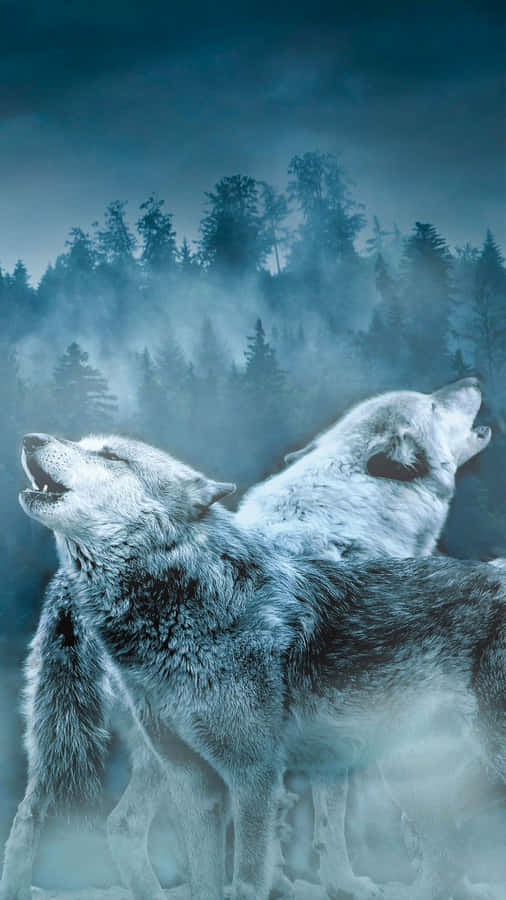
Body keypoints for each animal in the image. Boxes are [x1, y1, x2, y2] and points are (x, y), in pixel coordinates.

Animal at [0, 378, 493, 900]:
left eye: (109, 454)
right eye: (434, 404)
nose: (472, 381)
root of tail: (63, 590)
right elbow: (325, 820)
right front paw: (338, 881)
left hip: (65, 747)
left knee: (47, 823)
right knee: (121, 824)